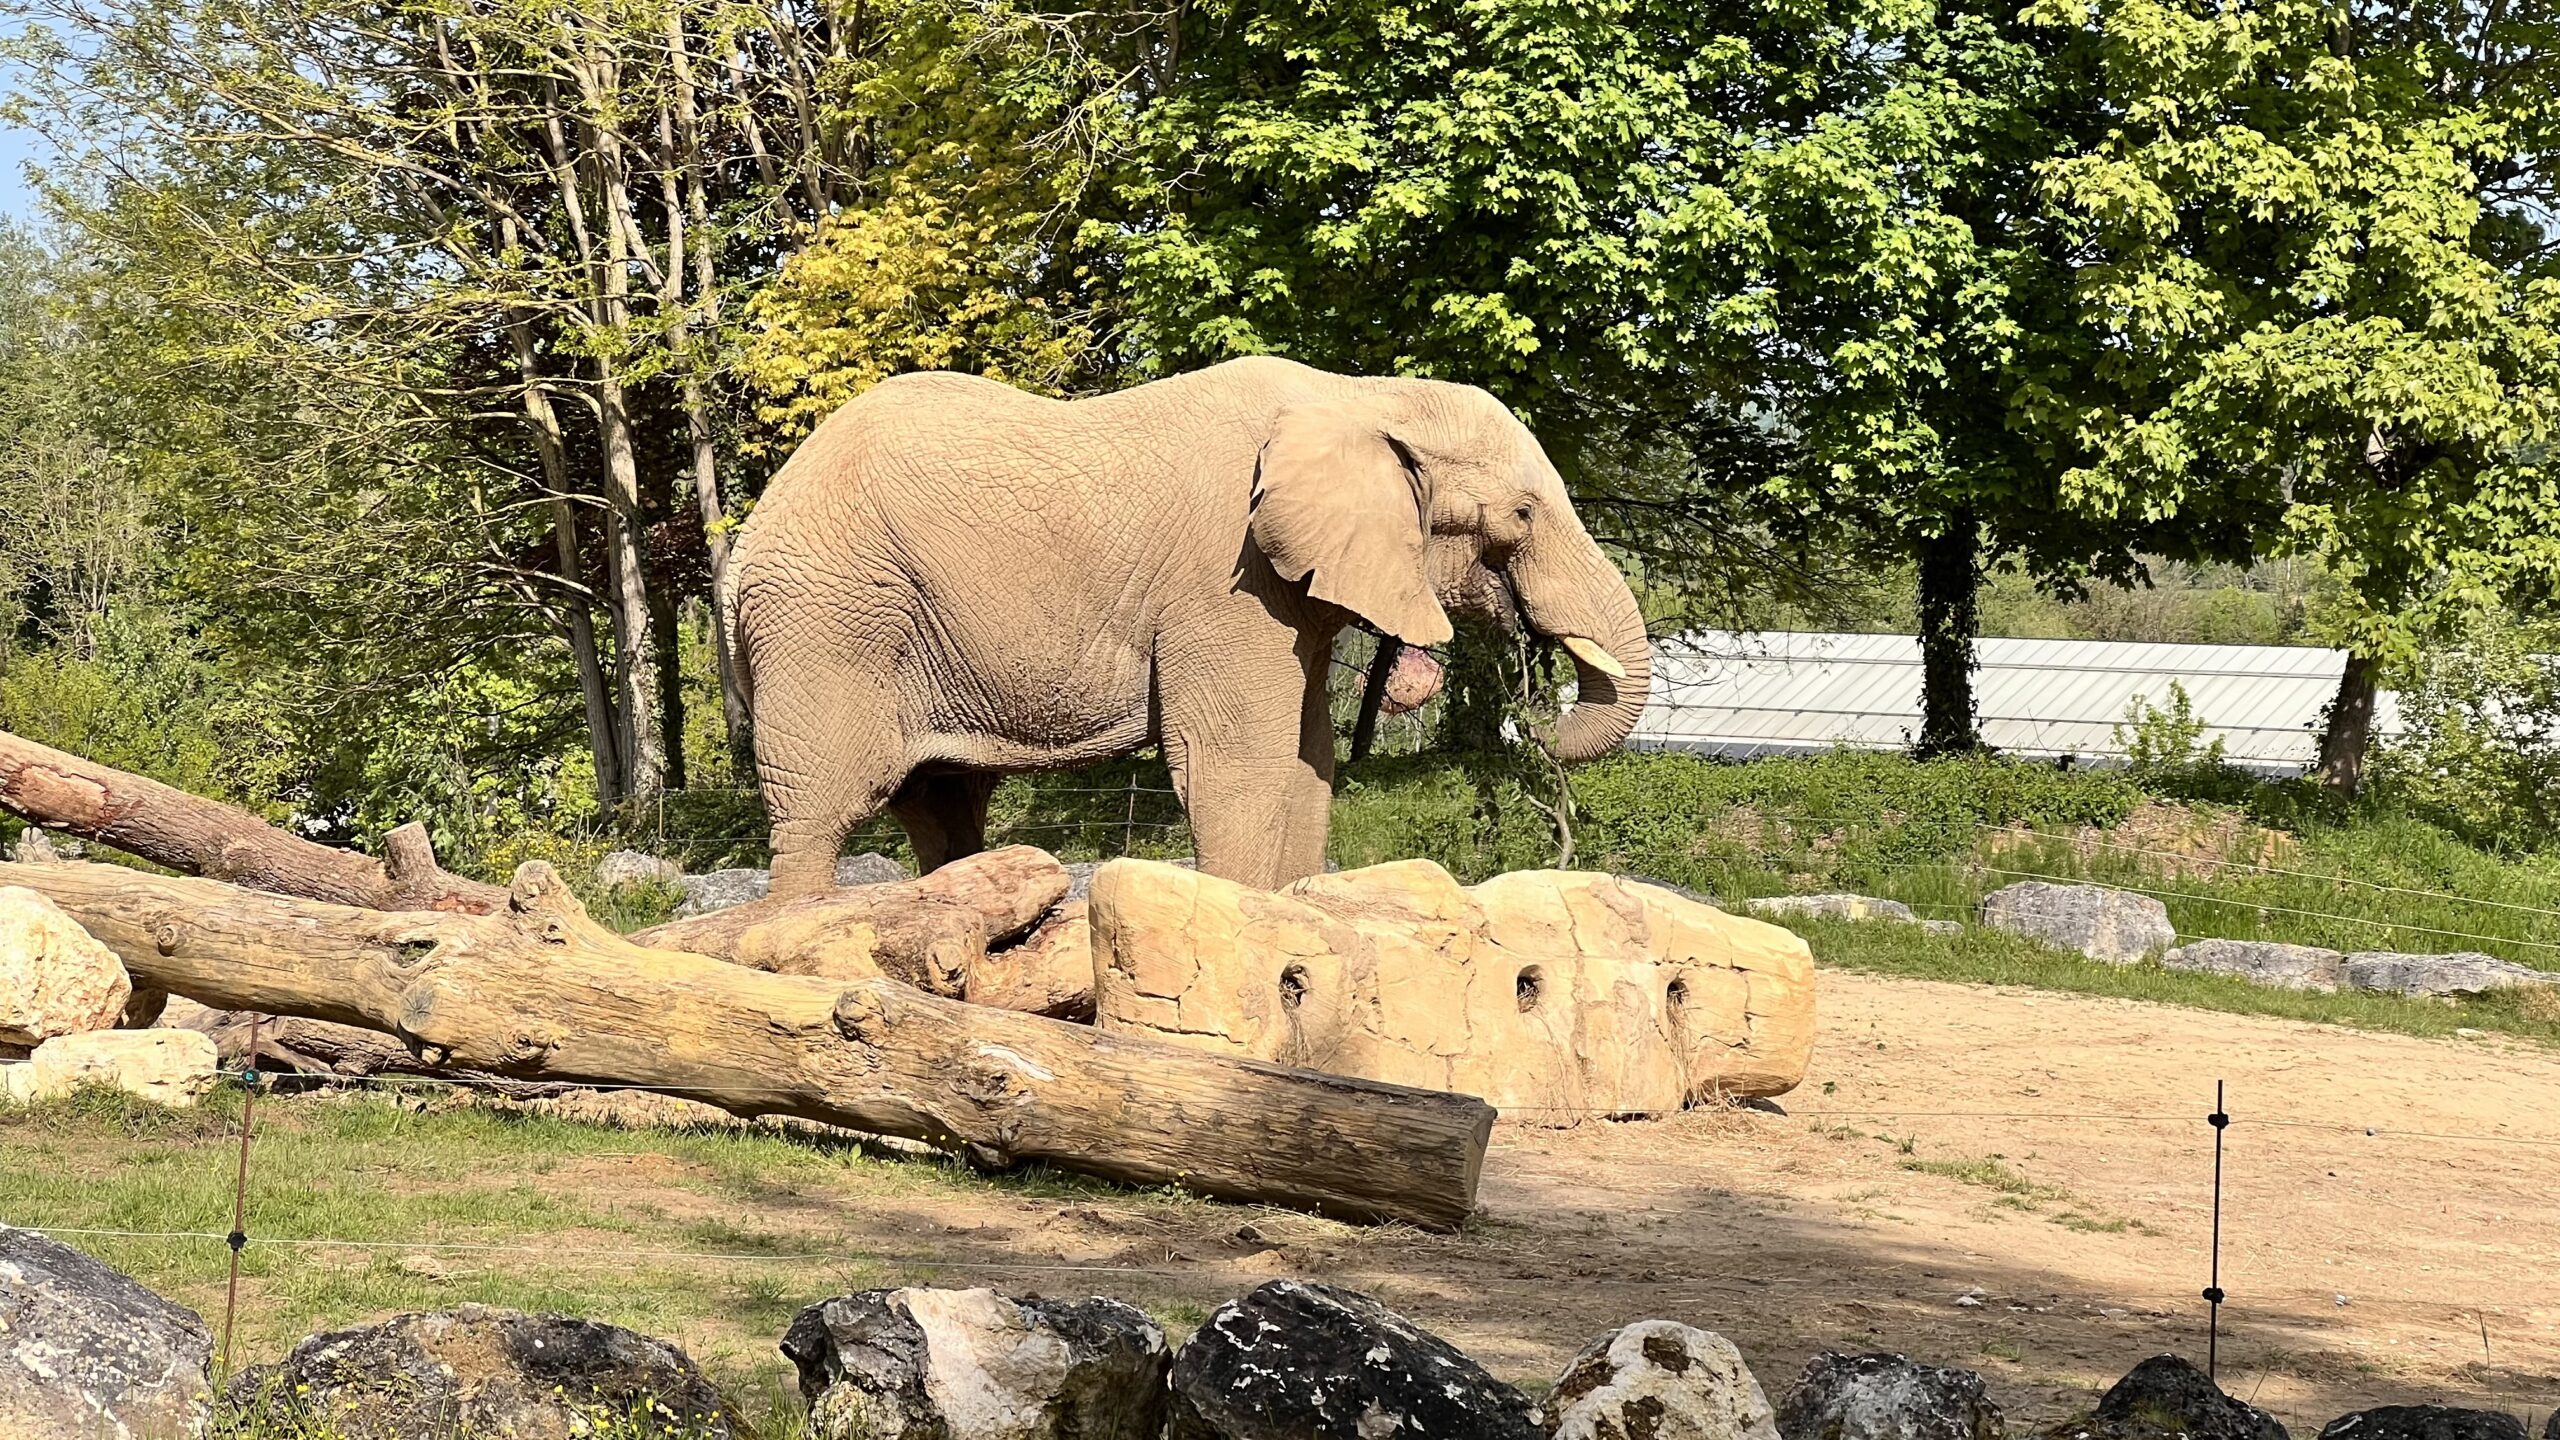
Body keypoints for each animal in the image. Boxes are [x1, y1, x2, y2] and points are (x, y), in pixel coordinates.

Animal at [737, 353, 1658, 891]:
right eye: (1523, 513)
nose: (1535, 714)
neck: (1356, 396)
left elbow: (1309, 759)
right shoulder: (1228, 583)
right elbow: (1236, 761)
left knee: (943, 804)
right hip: (829, 618)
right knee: (824, 806)